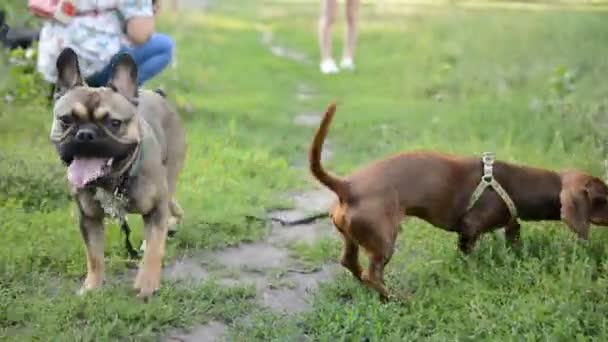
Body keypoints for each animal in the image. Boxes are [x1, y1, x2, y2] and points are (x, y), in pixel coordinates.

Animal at [50, 47, 185, 296]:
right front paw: (92, 287)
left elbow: (154, 249)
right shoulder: (89, 219)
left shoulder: (156, 210)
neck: (114, 181)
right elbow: (94, 256)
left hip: (169, 179)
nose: (85, 134)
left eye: (114, 123)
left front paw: (147, 285)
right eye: (66, 120)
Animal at [312, 101, 608, 300]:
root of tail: (348, 186)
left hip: (351, 237)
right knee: (372, 274)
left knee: (350, 263)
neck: (517, 182)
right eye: (603, 198)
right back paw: (397, 299)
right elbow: (468, 256)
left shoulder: (510, 223)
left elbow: (514, 239)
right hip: (383, 240)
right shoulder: (470, 228)